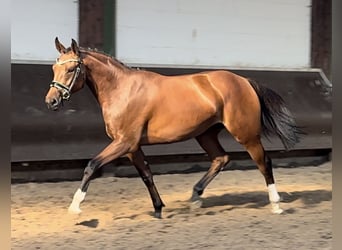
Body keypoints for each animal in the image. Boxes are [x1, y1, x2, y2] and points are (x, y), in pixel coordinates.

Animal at [43, 38, 302, 218]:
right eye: (54, 69)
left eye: (70, 69)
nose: (51, 101)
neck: (122, 89)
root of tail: (244, 81)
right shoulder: (131, 147)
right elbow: (146, 175)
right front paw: (158, 209)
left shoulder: (124, 142)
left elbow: (92, 165)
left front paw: (75, 206)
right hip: (205, 134)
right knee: (221, 158)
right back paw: (196, 196)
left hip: (246, 135)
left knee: (263, 162)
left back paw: (276, 205)